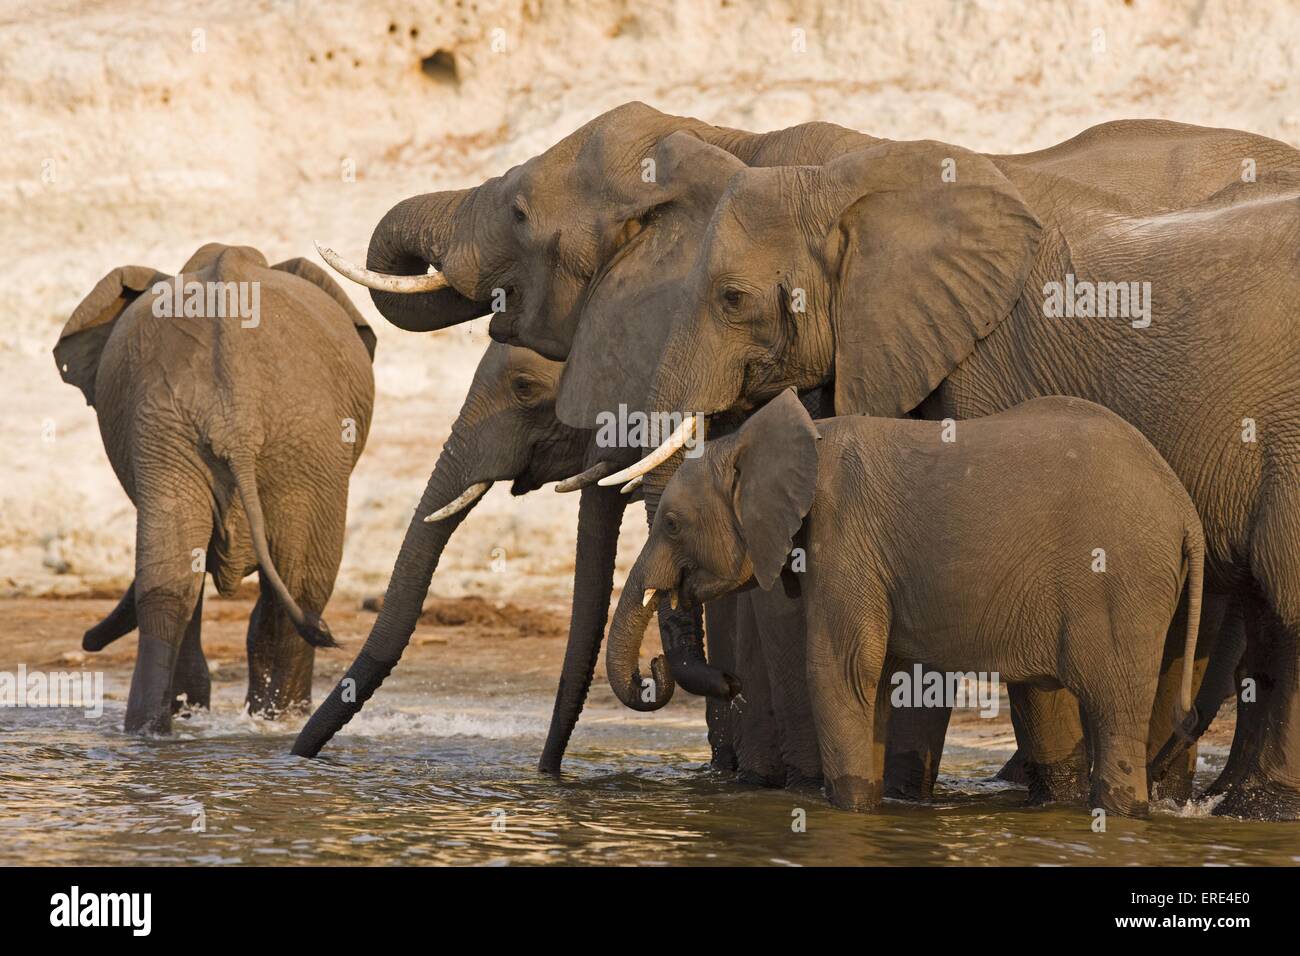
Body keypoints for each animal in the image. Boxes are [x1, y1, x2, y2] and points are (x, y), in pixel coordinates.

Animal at [58, 243, 379, 738]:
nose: (88, 641)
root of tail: (236, 411)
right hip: (244, 435)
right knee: (289, 586)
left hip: (263, 438)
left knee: (190, 582)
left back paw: (162, 730)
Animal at [605, 392, 1196, 816]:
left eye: (672, 524)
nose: (730, 682)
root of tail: (1183, 505)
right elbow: (876, 677)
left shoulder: (845, 537)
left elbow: (838, 670)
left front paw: (847, 813)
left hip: (1123, 584)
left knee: (1115, 709)